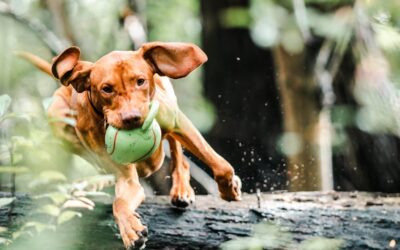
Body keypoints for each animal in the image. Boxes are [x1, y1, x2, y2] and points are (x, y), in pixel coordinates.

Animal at [22, 42, 241, 249]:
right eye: (106, 89)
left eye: (140, 81)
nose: (132, 118)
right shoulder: (126, 177)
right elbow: (119, 202)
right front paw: (130, 230)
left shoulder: (177, 122)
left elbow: (221, 165)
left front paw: (229, 189)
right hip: (57, 117)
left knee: (178, 151)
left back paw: (181, 189)